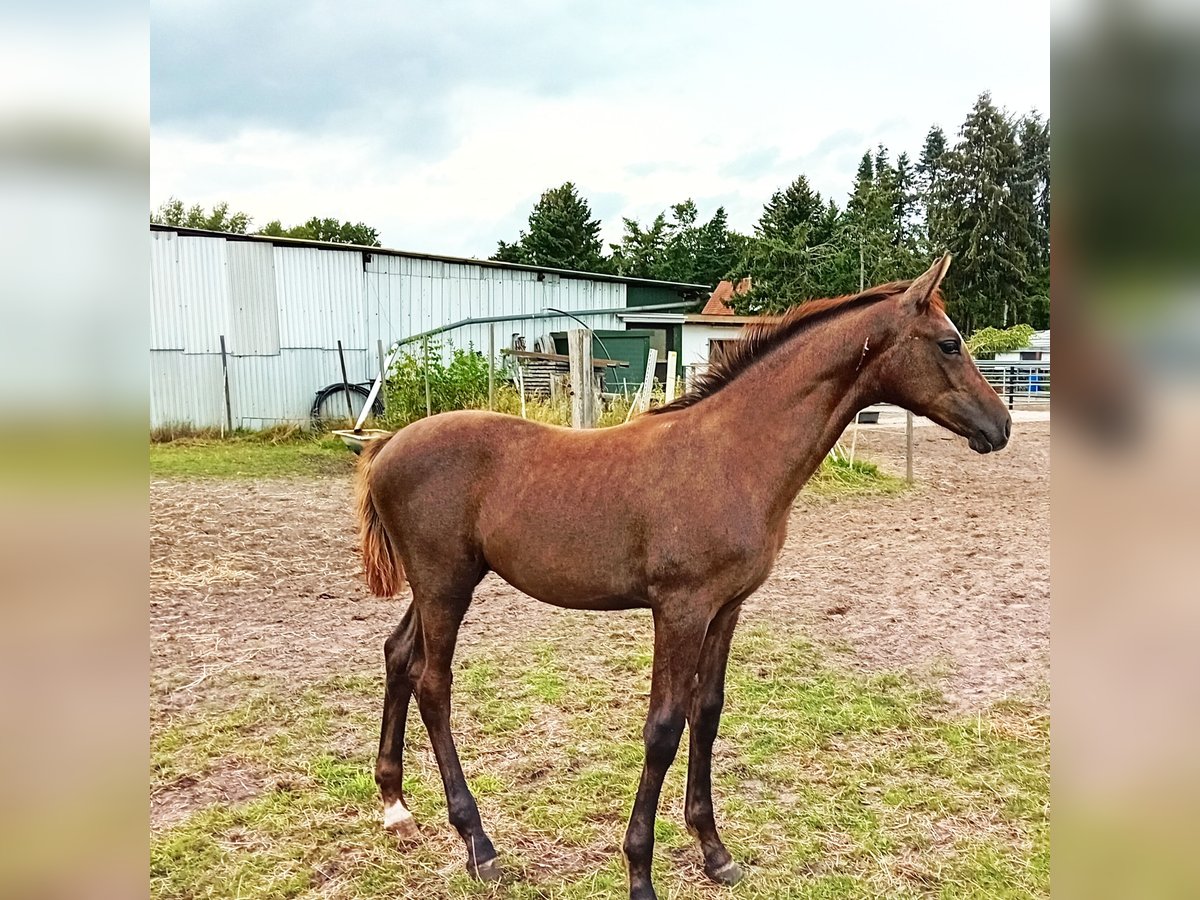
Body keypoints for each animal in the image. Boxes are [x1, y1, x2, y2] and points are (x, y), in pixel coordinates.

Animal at [350, 255, 1008, 900]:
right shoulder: (680, 610)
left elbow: (706, 713)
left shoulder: (726, 608)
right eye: (950, 344)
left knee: (398, 655)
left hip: (436, 586)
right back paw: (478, 845)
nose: (1000, 426)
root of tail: (386, 445)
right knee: (433, 684)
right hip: (446, 586)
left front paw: (715, 852)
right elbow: (663, 728)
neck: (733, 453)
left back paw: (396, 809)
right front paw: (640, 873)